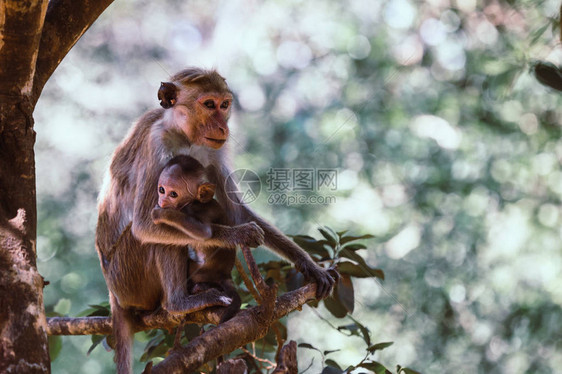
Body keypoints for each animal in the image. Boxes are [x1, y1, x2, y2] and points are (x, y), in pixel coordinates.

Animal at [151, 155, 241, 322]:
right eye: (161, 190)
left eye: (173, 194)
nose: (162, 201)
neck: (194, 201)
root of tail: (225, 274)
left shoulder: (198, 209)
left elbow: (203, 232)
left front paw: (161, 214)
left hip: (201, 271)